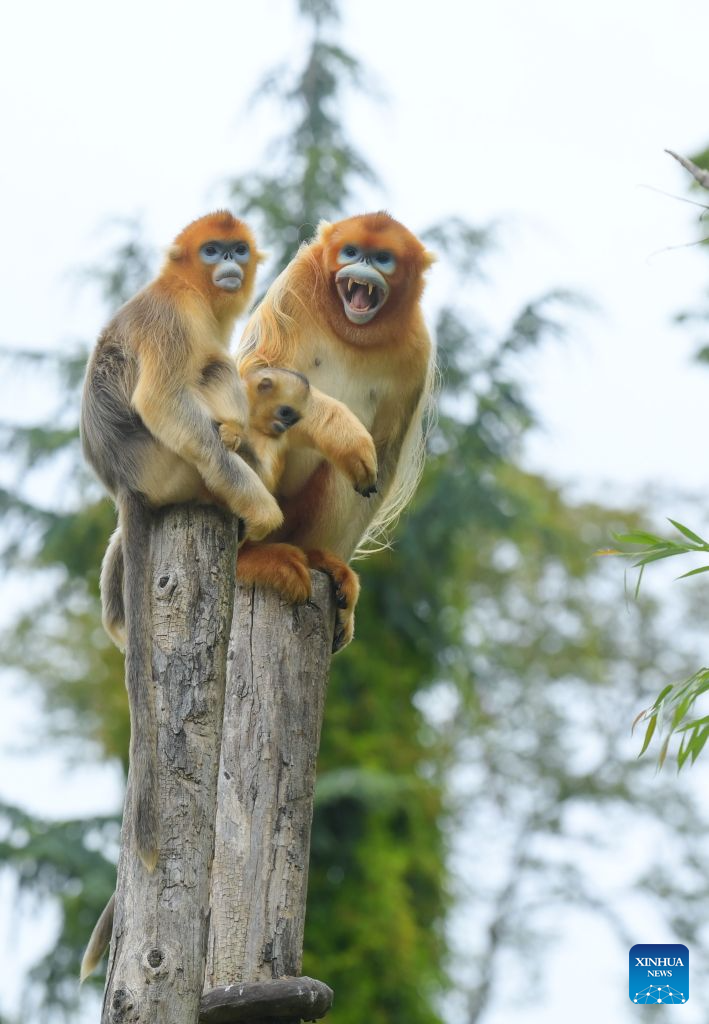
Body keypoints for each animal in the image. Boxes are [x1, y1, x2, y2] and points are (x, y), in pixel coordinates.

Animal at [80, 211, 283, 876]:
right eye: (212, 250)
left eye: (237, 249)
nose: (230, 263)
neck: (189, 288)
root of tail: (122, 480)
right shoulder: (176, 318)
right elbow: (163, 397)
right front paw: (264, 509)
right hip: (171, 466)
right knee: (212, 371)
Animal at [235, 211, 436, 651]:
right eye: (351, 252)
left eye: (382, 259)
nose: (362, 267)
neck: (351, 332)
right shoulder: (293, 286)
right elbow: (252, 377)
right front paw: (342, 431)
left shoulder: (418, 350)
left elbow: (382, 459)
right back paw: (250, 558)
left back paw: (318, 558)